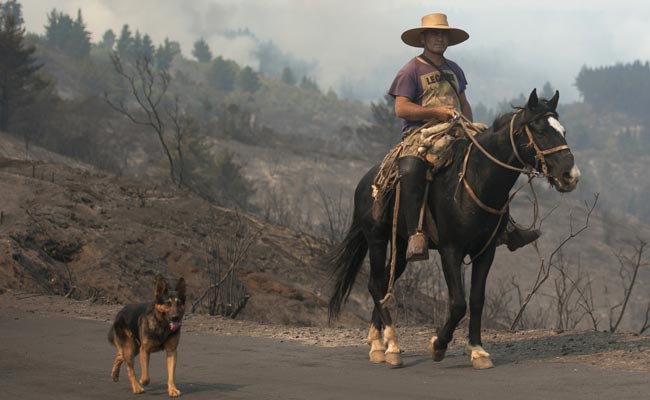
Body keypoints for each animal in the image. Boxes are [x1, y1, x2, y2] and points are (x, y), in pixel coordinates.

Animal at [326, 90, 580, 368]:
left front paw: (478, 350)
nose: (571, 176)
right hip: (377, 238)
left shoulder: (485, 251)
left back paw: (377, 342)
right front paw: (438, 345)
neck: (477, 180)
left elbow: (477, 300)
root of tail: (364, 182)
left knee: (384, 282)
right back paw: (390, 346)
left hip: (402, 247)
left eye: (563, 131)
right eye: (540, 131)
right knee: (375, 284)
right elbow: (458, 303)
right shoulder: (450, 250)